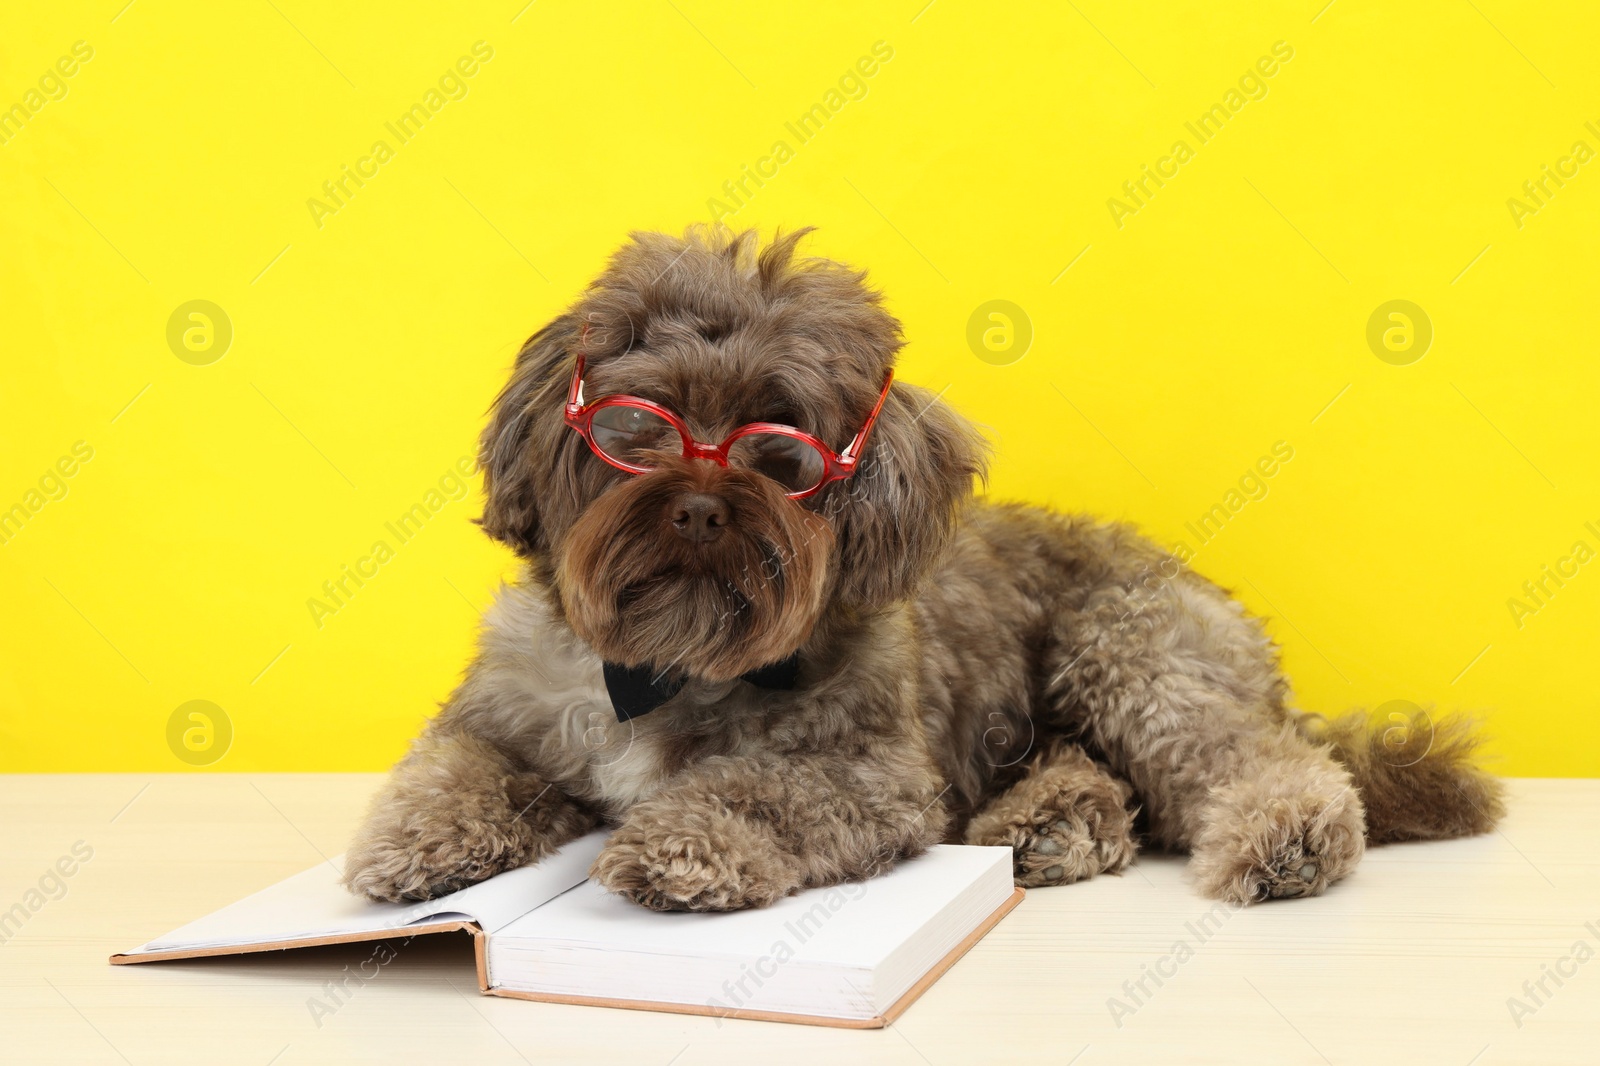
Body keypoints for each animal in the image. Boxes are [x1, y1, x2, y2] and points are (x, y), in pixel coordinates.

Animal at [344, 228, 1504, 909]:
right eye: (639, 425)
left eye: (786, 450)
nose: (701, 503)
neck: (670, 662)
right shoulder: (500, 712)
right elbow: (455, 766)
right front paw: (420, 837)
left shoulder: (869, 773)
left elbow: (753, 789)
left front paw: (677, 846)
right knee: (1098, 781)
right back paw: (1047, 829)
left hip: (1132, 656)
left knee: (1259, 766)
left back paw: (1279, 839)